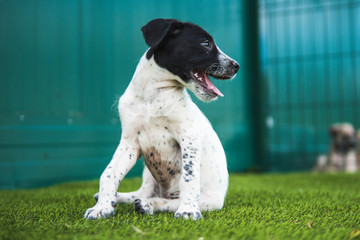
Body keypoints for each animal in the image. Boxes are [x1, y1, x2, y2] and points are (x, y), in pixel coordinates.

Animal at [84, 18, 239, 221]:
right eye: (206, 43)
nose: (236, 66)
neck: (152, 98)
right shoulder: (129, 142)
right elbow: (109, 173)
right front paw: (102, 207)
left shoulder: (188, 136)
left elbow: (189, 177)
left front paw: (188, 210)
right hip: (149, 175)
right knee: (143, 193)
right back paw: (121, 198)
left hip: (210, 201)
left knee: (166, 201)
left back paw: (148, 205)